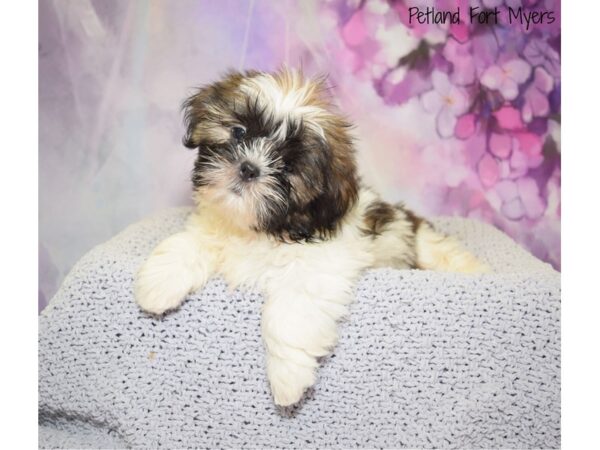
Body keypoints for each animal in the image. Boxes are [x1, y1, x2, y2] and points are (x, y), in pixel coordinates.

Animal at [135, 67, 488, 408]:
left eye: (288, 166)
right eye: (239, 132)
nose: (249, 168)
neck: (261, 229)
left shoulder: (319, 266)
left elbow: (291, 314)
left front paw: (287, 380)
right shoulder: (214, 224)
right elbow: (188, 243)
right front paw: (158, 284)